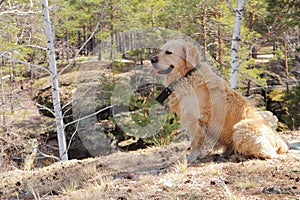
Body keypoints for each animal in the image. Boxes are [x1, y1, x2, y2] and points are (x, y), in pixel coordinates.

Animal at [151, 39, 290, 162]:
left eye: (169, 52)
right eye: (161, 50)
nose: (152, 59)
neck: (187, 75)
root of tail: (280, 142)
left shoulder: (195, 120)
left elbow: (195, 142)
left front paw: (193, 156)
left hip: (241, 128)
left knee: (268, 153)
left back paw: (239, 156)